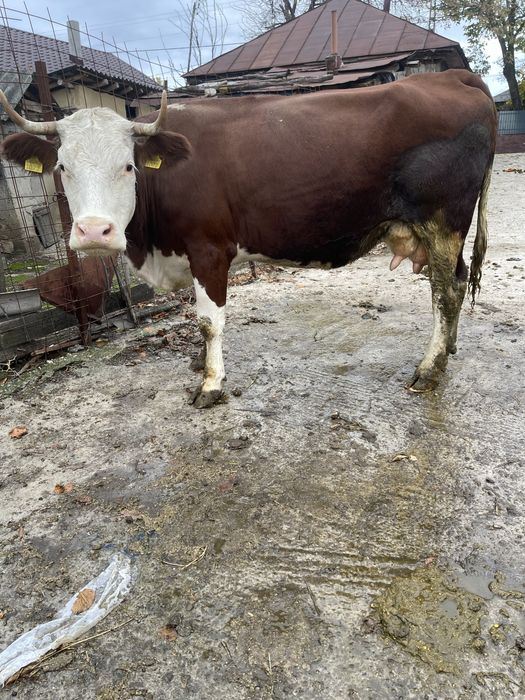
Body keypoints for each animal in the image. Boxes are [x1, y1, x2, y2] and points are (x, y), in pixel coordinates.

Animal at [0, 69, 497, 408]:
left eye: (128, 166)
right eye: (63, 167)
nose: (93, 232)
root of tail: (450, 76)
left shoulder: (209, 250)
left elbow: (208, 320)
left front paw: (211, 382)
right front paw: (200, 362)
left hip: (443, 222)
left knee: (447, 293)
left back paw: (429, 369)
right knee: (452, 285)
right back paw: (448, 349)